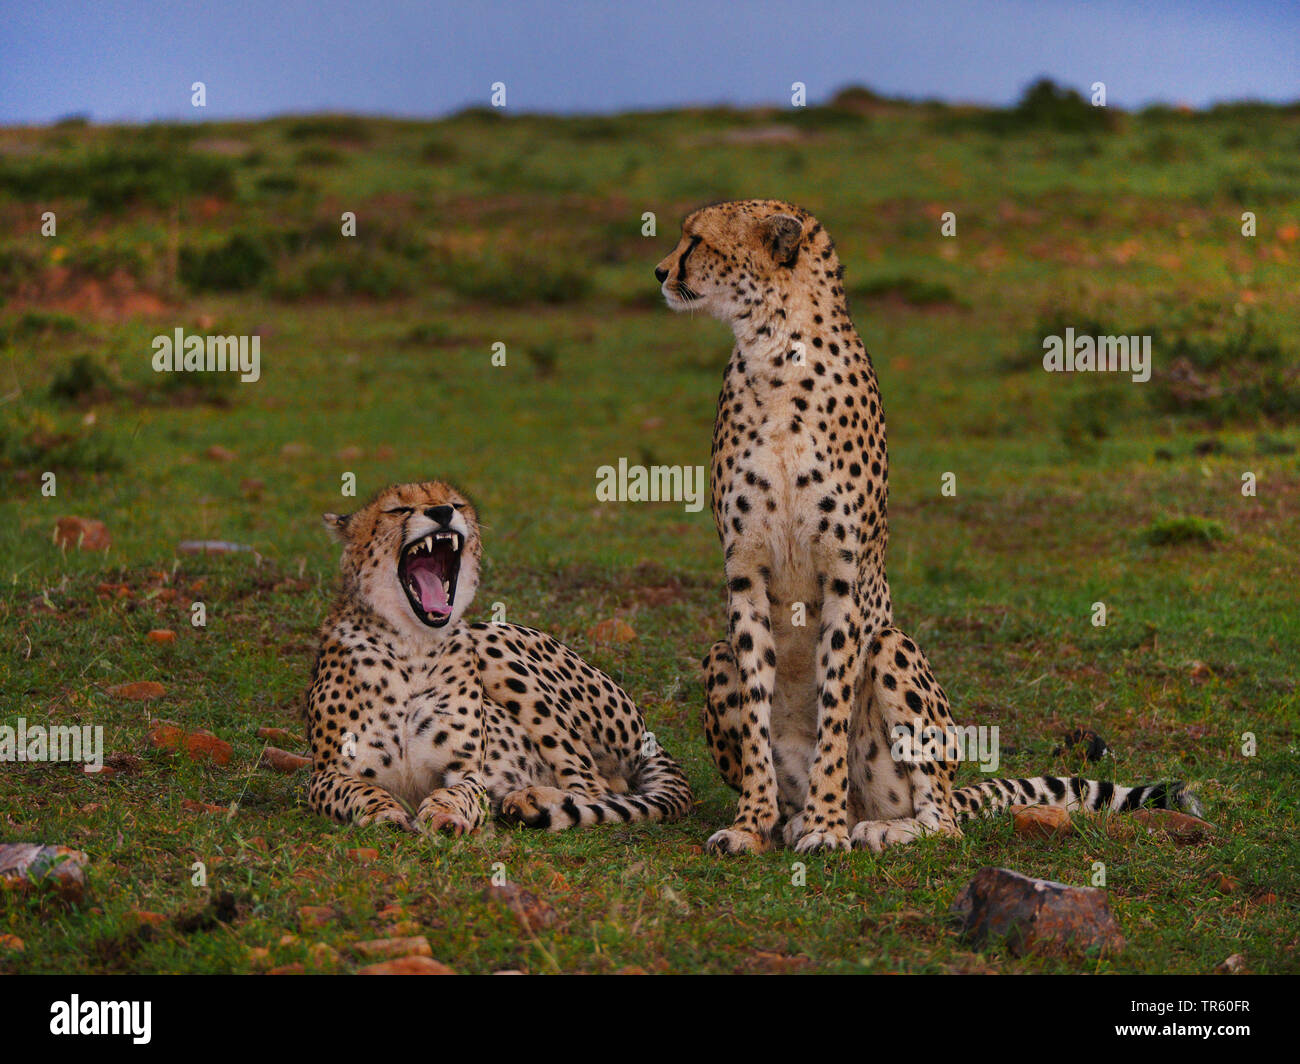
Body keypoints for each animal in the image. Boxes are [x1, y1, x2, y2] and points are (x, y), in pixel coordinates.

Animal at [304, 476, 691, 832]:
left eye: (455, 504)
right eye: (398, 509)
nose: (442, 513)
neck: (412, 646)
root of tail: (648, 737)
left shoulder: (467, 771)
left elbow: (457, 792)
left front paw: (443, 813)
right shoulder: (324, 775)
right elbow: (358, 790)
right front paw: (383, 811)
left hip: (491, 641)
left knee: (595, 786)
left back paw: (533, 801)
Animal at [655, 199, 1201, 853]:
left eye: (696, 239)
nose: (660, 271)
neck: (775, 351)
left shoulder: (845, 575)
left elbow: (834, 707)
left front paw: (826, 827)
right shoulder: (744, 571)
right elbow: (759, 710)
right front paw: (750, 824)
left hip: (897, 653)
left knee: (943, 819)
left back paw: (875, 826)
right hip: (717, 658)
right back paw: (788, 819)